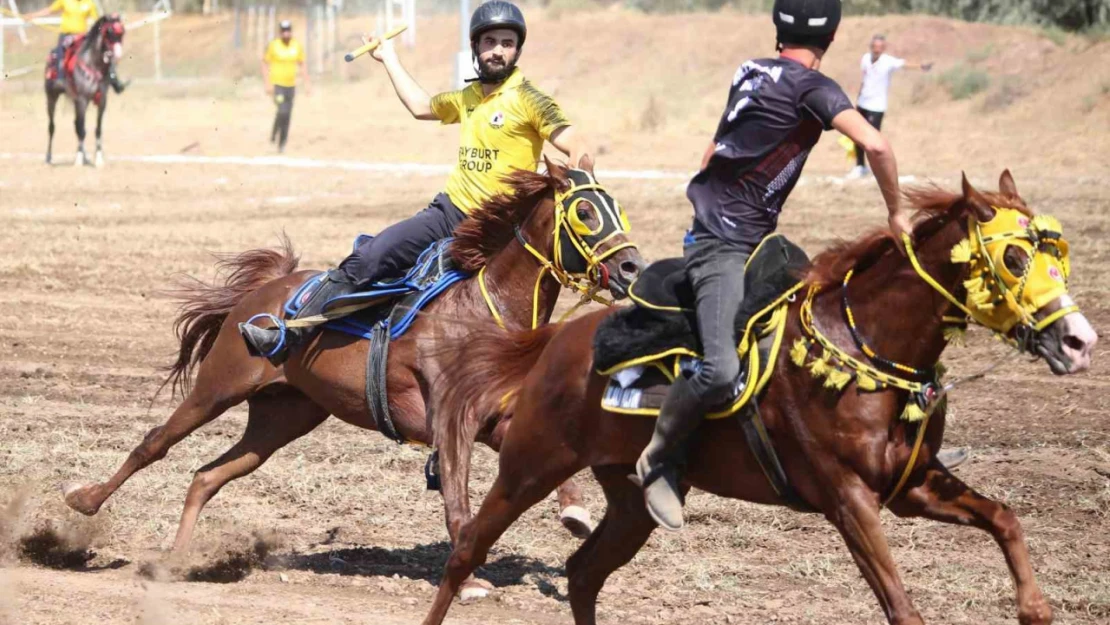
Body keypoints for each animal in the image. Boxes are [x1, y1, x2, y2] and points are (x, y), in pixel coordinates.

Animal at [45, 15, 125, 167]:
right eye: (109, 31)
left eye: (122, 31)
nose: (118, 54)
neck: (93, 64)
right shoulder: (82, 99)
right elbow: (82, 130)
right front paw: (78, 159)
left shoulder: (102, 101)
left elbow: (97, 129)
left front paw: (98, 159)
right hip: (52, 97)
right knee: (52, 126)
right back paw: (49, 157)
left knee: (76, 125)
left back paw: (86, 157)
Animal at [60, 163, 648, 599]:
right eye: (585, 211)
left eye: (619, 207)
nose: (631, 269)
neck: (483, 311)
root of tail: (265, 292)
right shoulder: (449, 424)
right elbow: (457, 500)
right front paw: (470, 583)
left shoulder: (492, 424)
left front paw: (575, 512)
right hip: (218, 387)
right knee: (153, 444)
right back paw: (84, 503)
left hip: (283, 417)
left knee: (208, 475)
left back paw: (179, 560)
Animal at [419, 173, 1096, 625]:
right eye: (1014, 257)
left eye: (1056, 256)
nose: (1079, 340)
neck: (864, 343)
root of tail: (560, 338)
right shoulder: (848, 500)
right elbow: (903, 607)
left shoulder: (913, 486)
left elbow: (1005, 519)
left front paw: (1034, 608)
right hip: (531, 465)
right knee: (466, 551)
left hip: (630, 501)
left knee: (583, 574)